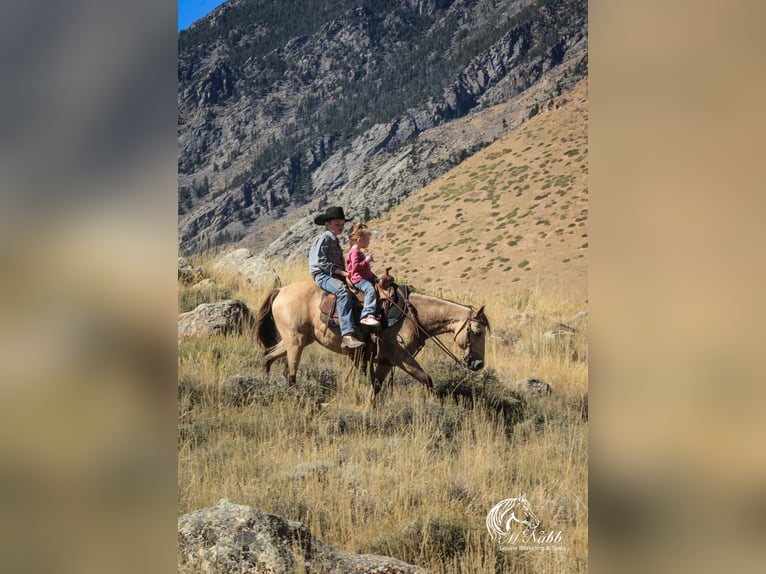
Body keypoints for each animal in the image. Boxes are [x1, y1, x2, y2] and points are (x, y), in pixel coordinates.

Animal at [254, 282, 492, 408]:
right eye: (477, 332)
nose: (478, 364)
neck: (412, 316)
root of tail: (280, 290)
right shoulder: (400, 357)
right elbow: (427, 379)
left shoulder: (387, 361)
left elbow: (376, 386)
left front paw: (366, 409)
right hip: (295, 342)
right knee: (290, 374)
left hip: (296, 340)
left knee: (268, 356)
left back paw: (266, 386)